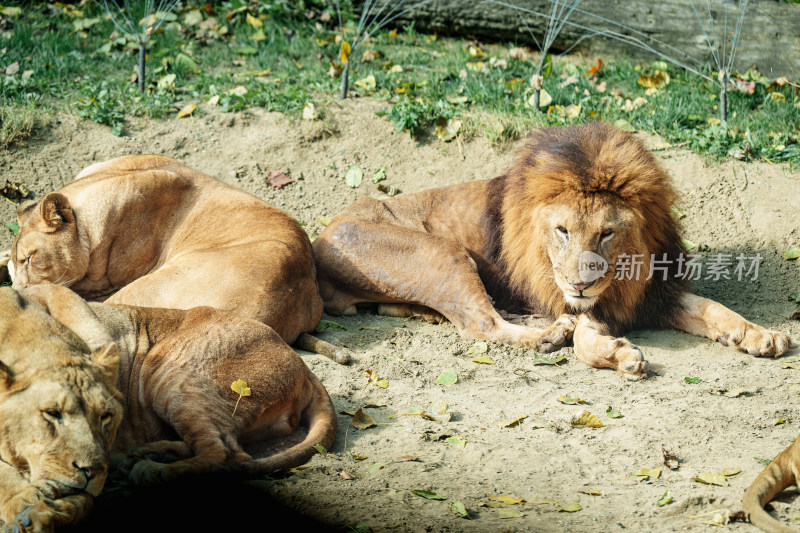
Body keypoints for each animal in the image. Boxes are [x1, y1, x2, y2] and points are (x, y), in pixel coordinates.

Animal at [0, 284, 334, 532]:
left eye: (106, 418)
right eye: (51, 414)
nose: (91, 470)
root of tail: (301, 362)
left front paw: (39, 513)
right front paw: (30, 502)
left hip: (168, 372)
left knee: (227, 454)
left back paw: (152, 469)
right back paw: (144, 457)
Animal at [310, 122, 788, 378]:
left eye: (606, 234)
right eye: (562, 231)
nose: (580, 284)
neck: (622, 281)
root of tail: (320, 239)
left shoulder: (655, 293)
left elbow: (713, 309)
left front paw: (760, 336)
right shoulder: (584, 303)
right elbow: (584, 341)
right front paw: (620, 355)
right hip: (444, 252)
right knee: (481, 323)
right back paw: (548, 335)